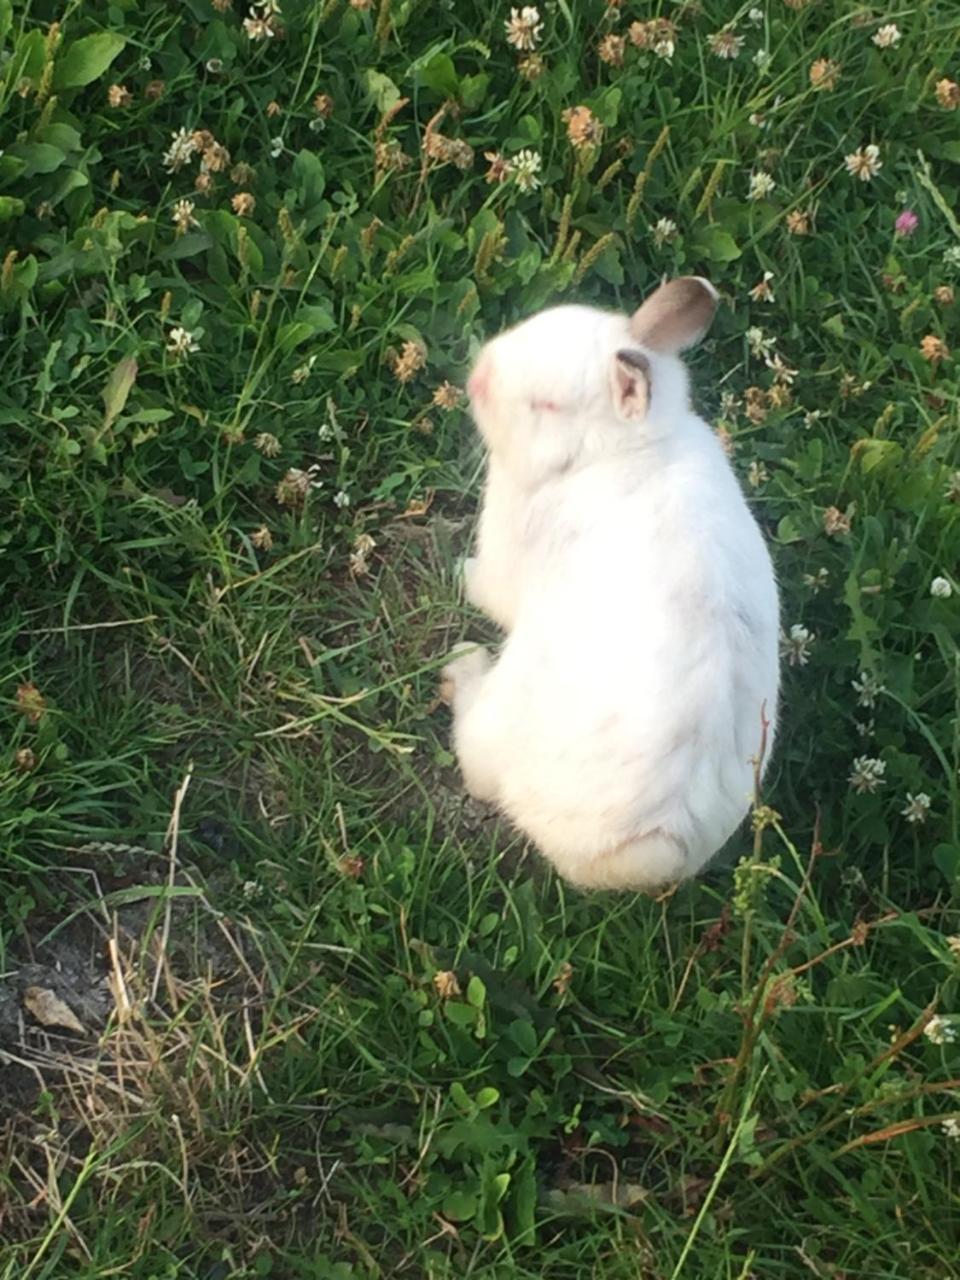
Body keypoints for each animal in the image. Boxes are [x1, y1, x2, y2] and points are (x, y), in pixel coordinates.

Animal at [442, 275, 783, 896]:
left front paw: (460, 570)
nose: (478, 378)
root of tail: (647, 847)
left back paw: (461, 667)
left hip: (505, 707)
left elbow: (489, 587)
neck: (619, 450)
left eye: (548, 405)